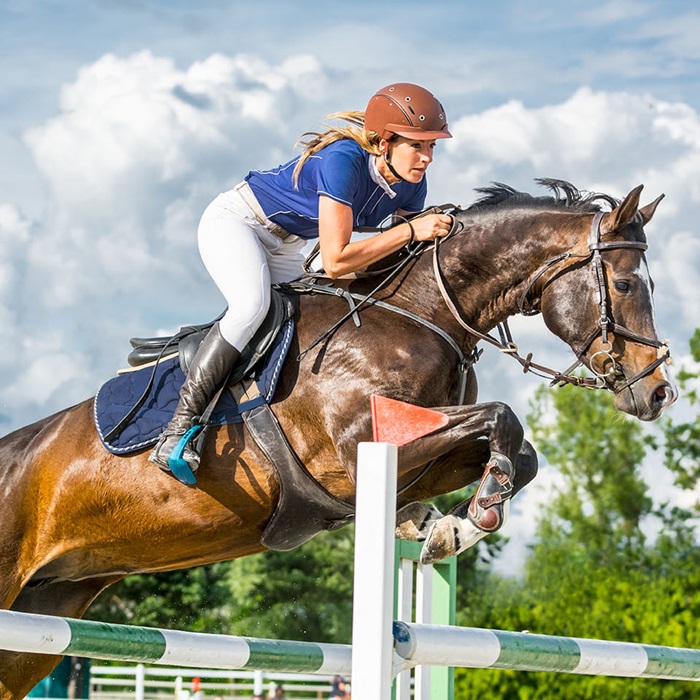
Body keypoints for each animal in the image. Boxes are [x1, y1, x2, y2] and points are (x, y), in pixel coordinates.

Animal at [1, 178, 680, 696]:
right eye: (626, 284)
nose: (657, 393)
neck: (419, 312)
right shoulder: (358, 456)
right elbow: (502, 418)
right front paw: (474, 513)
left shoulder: (425, 452)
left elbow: (517, 449)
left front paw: (444, 529)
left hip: (45, 614)